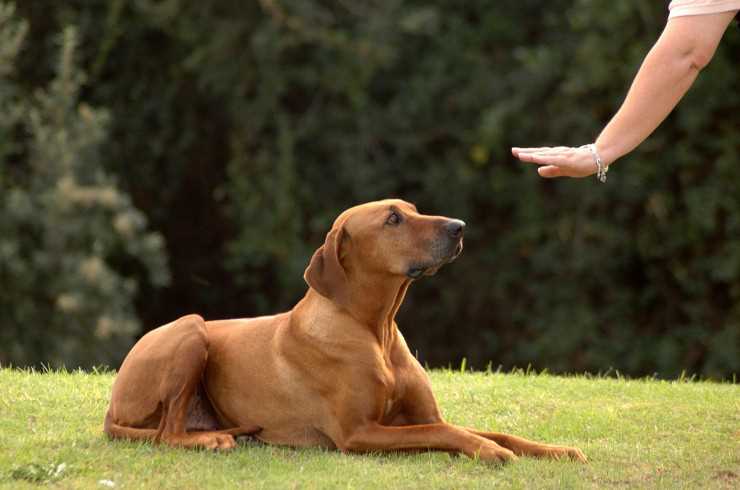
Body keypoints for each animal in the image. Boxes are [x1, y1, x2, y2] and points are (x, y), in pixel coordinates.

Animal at [105, 199, 584, 464]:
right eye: (393, 219)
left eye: (413, 210)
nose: (459, 227)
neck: (375, 330)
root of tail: (111, 406)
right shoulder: (358, 433)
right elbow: (447, 434)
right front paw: (490, 452)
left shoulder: (424, 415)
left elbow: (490, 430)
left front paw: (556, 450)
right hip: (191, 328)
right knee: (167, 435)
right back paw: (212, 440)